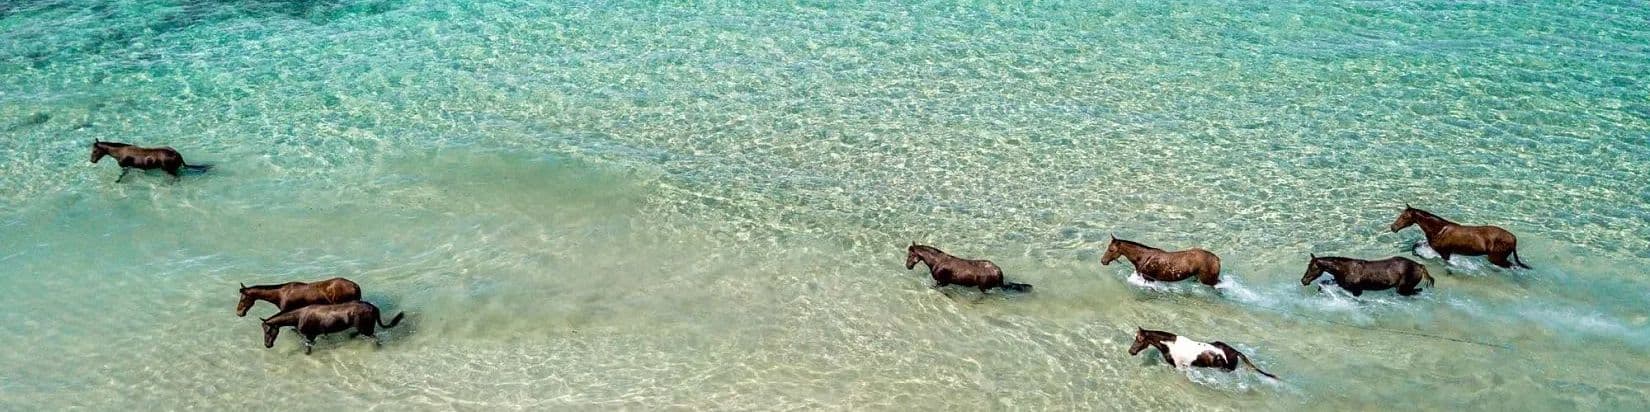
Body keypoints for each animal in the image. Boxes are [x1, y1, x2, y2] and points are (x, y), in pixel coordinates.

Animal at [261, 301, 404, 355]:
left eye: (268, 330)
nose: (267, 345)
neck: (298, 316)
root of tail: (374, 307)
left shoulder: (310, 334)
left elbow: (308, 346)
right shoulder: (313, 334)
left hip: (366, 327)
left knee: (374, 337)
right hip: (363, 327)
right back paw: (351, 336)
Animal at [1128, 328, 1279, 380]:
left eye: (1139, 339)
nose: (1131, 351)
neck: (1170, 345)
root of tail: (1236, 352)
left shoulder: (1179, 367)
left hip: (1227, 370)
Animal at [1301, 254, 1435, 296]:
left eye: (1312, 268)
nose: (1303, 280)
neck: (1345, 269)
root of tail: (1419, 266)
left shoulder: (1356, 290)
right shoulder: (1340, 283)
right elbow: (1324, 284)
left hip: (1403, 289)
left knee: (1416, 292)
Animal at [1391, 205, 1529, 269]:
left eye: (1404, 217)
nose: (1393, 227)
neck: (1439, 229)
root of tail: (1514, 239)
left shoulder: (1444, 253)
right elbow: (1417, 246)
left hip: (1496, 258)